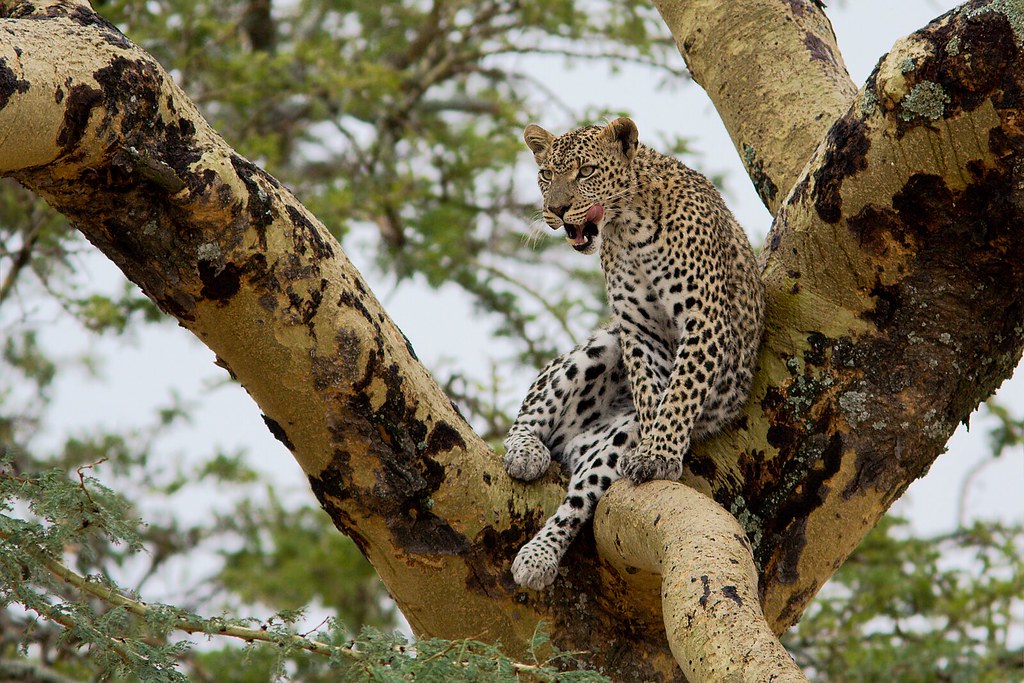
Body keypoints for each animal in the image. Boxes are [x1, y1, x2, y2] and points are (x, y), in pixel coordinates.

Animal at [504, 117, 765, 591]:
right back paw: (525, 452)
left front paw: (656, 455)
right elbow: (649, 388)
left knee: (576, 502)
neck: (629, 226)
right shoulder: (636, 329)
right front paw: (654, 444)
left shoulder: (703, 318)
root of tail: (572, 444)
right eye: (546, 175)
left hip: (607, 444)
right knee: (534, 407)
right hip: (599, 346)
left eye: (586, 172)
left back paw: (538, 556)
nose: (556, 209)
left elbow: (679, 393)